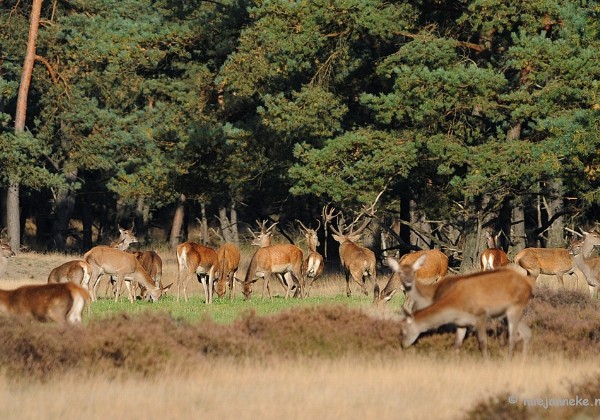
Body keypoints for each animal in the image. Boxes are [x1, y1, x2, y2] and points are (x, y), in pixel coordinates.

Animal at [394, 258, 536, 356]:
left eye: (404, 330)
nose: (402, 344)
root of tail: (529, 285)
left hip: (513, 309)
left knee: (514, 336)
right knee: (526, 333)